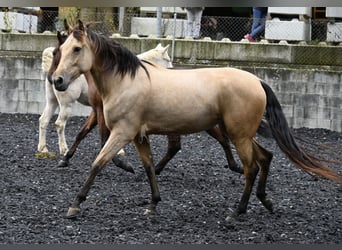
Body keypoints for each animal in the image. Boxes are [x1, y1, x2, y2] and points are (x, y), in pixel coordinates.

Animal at [36, 43, 171, 156]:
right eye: (168, 59)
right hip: (66, 104)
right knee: (59, 124)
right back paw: (64, 149)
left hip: (52, 101)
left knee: (43, 120)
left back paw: (43, 148)